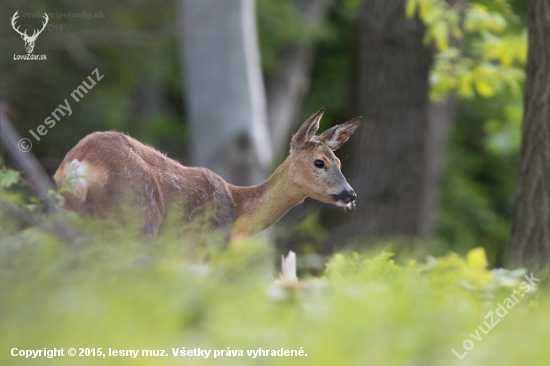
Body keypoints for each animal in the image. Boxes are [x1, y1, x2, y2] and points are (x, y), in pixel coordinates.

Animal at [55, 109, 362, 237]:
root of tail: (78, 162)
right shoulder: (198, 241)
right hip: (141, 210)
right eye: (319, 162)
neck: (239, 208)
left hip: (79, 215)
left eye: (339, 161)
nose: (350, 194)